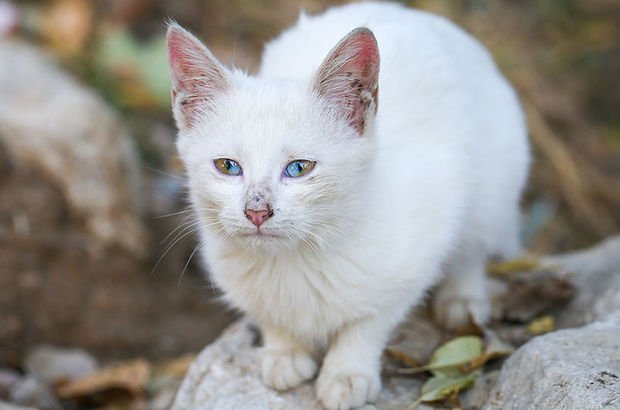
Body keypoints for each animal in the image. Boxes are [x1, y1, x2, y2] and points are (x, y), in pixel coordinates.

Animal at [167, 1, 532, 408]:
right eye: (227, 166)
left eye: (299, 168)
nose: (257, 210)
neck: (295, 261)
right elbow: (268, 313)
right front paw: (283, 352)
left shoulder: (425, 231)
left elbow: (370, 319)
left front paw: (347, 374)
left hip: (494, 184)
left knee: (472, 246)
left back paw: (462, 301)